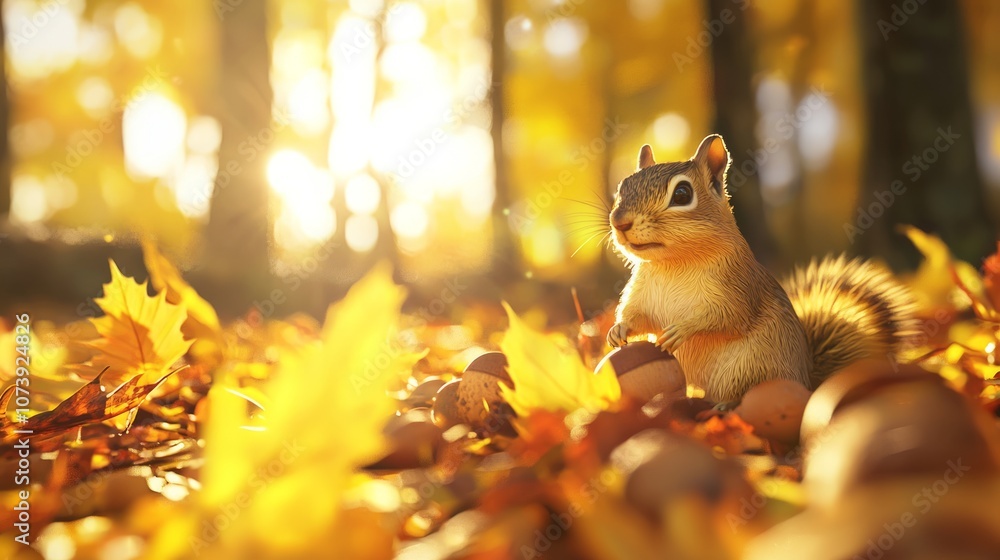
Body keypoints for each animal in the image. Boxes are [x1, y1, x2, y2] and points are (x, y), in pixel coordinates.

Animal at [606, 134, 916, 403]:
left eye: (682, 194)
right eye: (621, 188)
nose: (619, 221)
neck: (673, 263)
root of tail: (807, 380)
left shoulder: (739, 289)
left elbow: (724, 317)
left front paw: (682, 330)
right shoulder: (642, 294)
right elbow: (638, 317)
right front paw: (617, 329)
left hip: (747, 370)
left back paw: (724, 406)